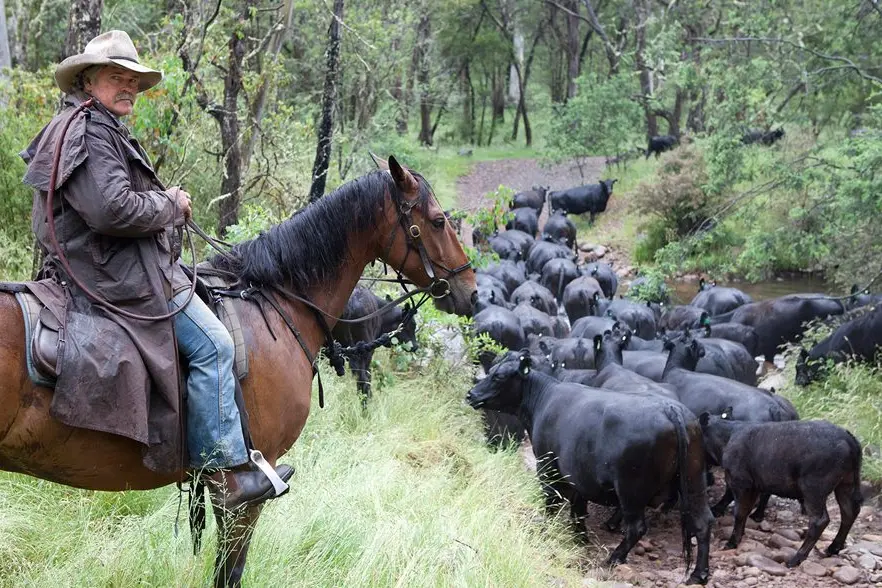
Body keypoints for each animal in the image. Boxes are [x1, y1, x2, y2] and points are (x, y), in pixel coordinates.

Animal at [466, 352, 714, 584]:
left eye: (498, 376)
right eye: (491, 371)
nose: (471, 394)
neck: (544, 400)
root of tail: (671, 409)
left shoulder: (547, 467)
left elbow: (552, 503)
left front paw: (548, 532)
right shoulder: (578, 476)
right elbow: (578, 509)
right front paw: (580, 538)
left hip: (631, 488)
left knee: (636, 527)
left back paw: (614, 558)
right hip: (694, 480)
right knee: (703, 521)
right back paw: (699, 573)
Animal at [700, 412, 862, 568]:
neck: (728, 435)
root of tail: (847, 437)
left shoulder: (740, 482)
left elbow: (739, 512)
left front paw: (732, 542)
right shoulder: (753, 485)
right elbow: (742, 508)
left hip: (813, 490)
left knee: (819, 521)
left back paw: (796, 559)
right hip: (845, 485)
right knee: (849, 512)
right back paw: (833, 548)